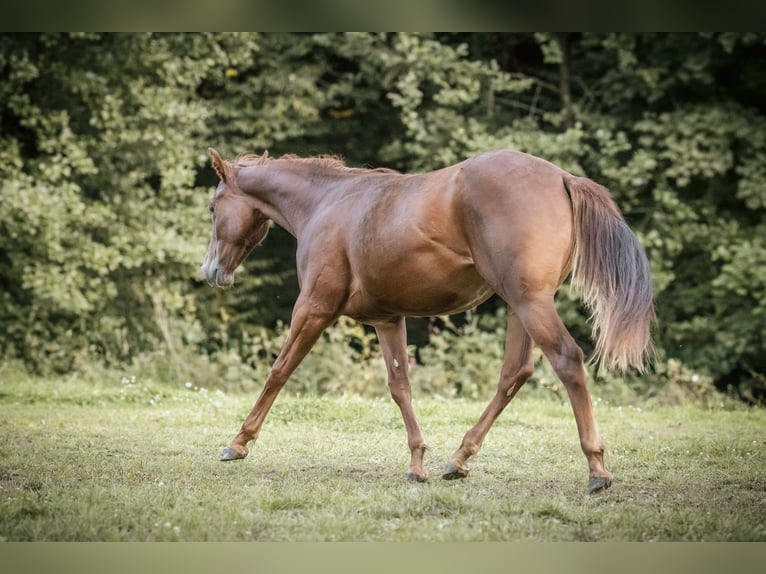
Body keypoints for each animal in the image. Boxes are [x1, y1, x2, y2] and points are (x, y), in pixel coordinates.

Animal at [201, 147, 655, 494]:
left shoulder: (313, 307)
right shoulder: (387, 320)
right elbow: (400, 386)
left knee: (567, 360)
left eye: (212, 207)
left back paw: (596, 469)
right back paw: (459, 459)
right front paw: (417, 463)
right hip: (519, 306)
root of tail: (562, 177)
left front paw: (238, 443)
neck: (326, 202)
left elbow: (279, 371)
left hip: (531, 304)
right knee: (515, 373)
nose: (210, 271)